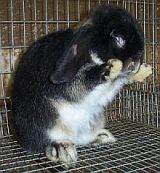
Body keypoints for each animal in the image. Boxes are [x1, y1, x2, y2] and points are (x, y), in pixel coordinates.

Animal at [12, 4, 150, 166]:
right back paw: (63, 149)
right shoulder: (74, 87)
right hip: (45, 124)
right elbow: (90, 78)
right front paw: (111, 67)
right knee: (44, 144)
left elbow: (118, 80)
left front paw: (144, 71)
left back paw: (102, 137)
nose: (137, 61)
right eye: (117, 37)